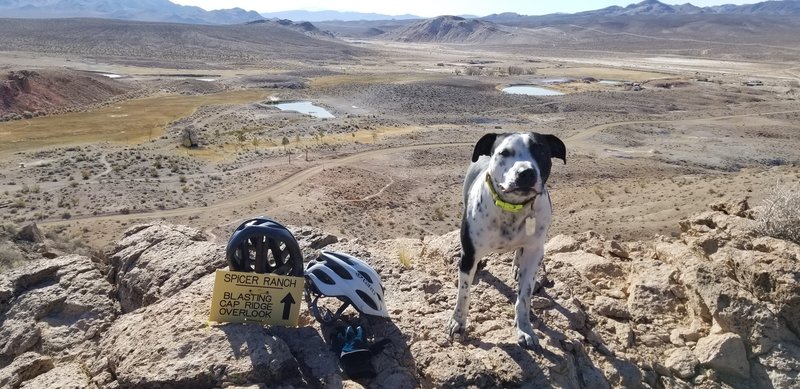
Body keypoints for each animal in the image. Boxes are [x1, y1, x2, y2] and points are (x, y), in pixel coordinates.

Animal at [446, 132, 564, 348]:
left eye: (541, 151)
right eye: (504, 153)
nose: (526, 173)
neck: (512, 208)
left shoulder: (535, 252)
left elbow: (524, 296)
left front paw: (525, 329)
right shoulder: (469, 254)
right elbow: (463, 294)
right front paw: (458, 322)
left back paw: (517, 264)